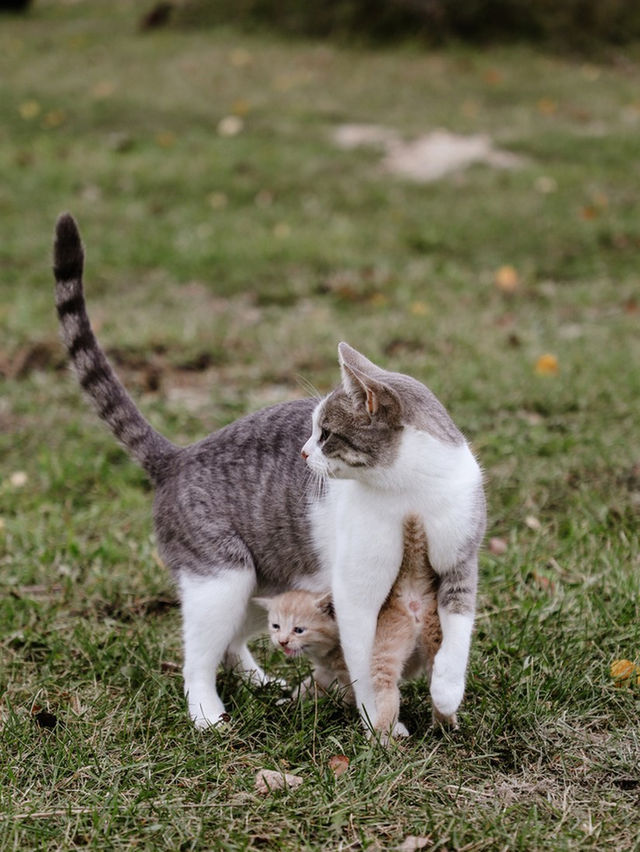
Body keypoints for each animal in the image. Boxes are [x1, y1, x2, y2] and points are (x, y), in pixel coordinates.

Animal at [53, 211, 484, 732]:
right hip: (222, 578)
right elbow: (365, 659)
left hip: (272, 586)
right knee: (198, 658)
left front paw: (446, 696)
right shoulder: (356, 591)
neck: (408, 491)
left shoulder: (460, 562)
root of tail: (177, 457)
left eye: (325, 433)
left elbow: (457, 637)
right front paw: (377, 722)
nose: (302, 453)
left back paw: (260, 684)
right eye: (312, 430)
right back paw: (207, 716)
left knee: (234, 640)